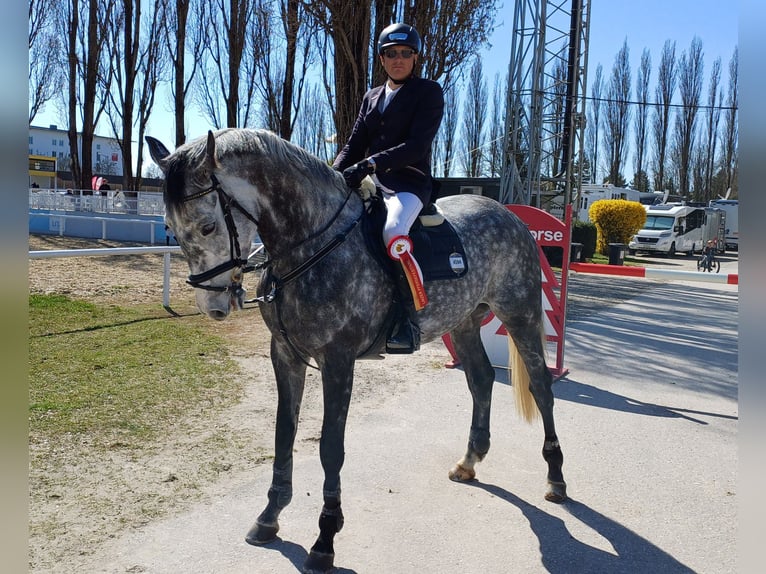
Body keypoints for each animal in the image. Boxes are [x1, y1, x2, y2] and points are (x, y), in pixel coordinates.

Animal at [147, 128, 566, 573]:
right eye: (169, 227)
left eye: (208, 226)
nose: (213, 306)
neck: (308, 245)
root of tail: (507, 213)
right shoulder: (285, 355)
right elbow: (283, 434)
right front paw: (269, 517)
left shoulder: (338, 361)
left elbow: (331, 448)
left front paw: (325, 538)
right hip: (466, 321)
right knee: (481, 379)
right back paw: (470, 461)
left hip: (519, 313)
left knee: (541, 386)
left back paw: (556, 478)